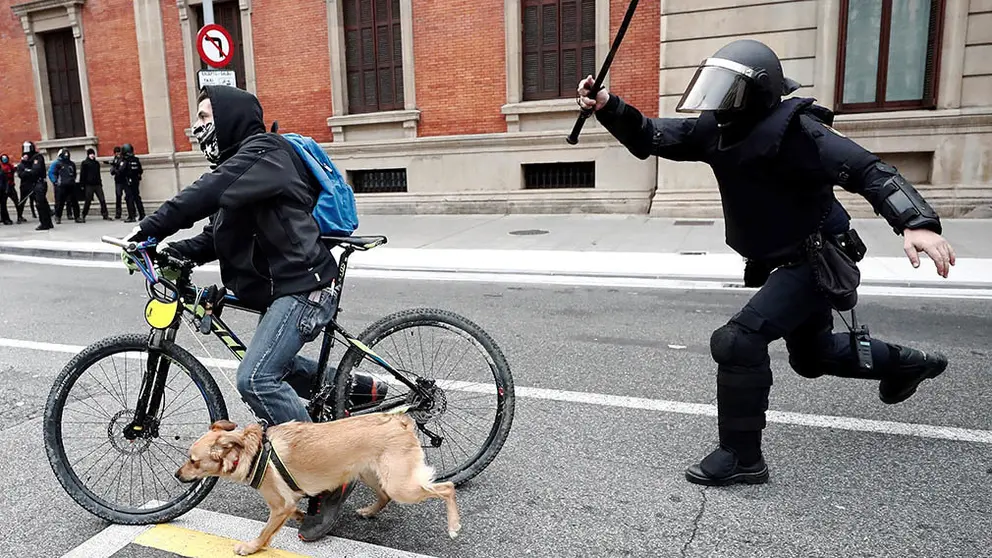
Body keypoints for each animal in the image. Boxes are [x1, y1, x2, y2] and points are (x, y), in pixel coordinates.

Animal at [173, 412, 462, 556]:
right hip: (372, 474)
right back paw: (368, 511)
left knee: (447, 488)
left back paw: (453, 526)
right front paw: (303, 516)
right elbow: (293, 511)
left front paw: (251, 547)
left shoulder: (279, 505)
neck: (253, 453)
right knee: (384, 496)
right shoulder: (287, 504)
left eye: (193, 461)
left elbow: (265, 532)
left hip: (401, 486)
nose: (177, 475)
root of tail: (400, 421)